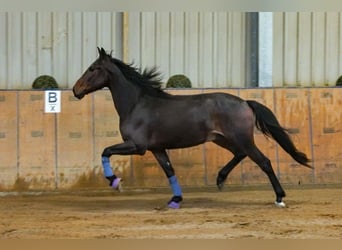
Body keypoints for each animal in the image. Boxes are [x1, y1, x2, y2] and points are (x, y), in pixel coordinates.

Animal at [73, 47, 312, 209]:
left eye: (93, 68)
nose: (76, 90)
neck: (137, 104)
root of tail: (245, 102)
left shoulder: (137, 146)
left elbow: (105, 151)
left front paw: (115, 182)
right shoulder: (156, 148)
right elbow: (169, 171)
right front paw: (175, 200)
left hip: (241, 138)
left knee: (264, 162)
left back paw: (279, 198)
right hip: (223, 139)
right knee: (240, 154)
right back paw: (220, 179)